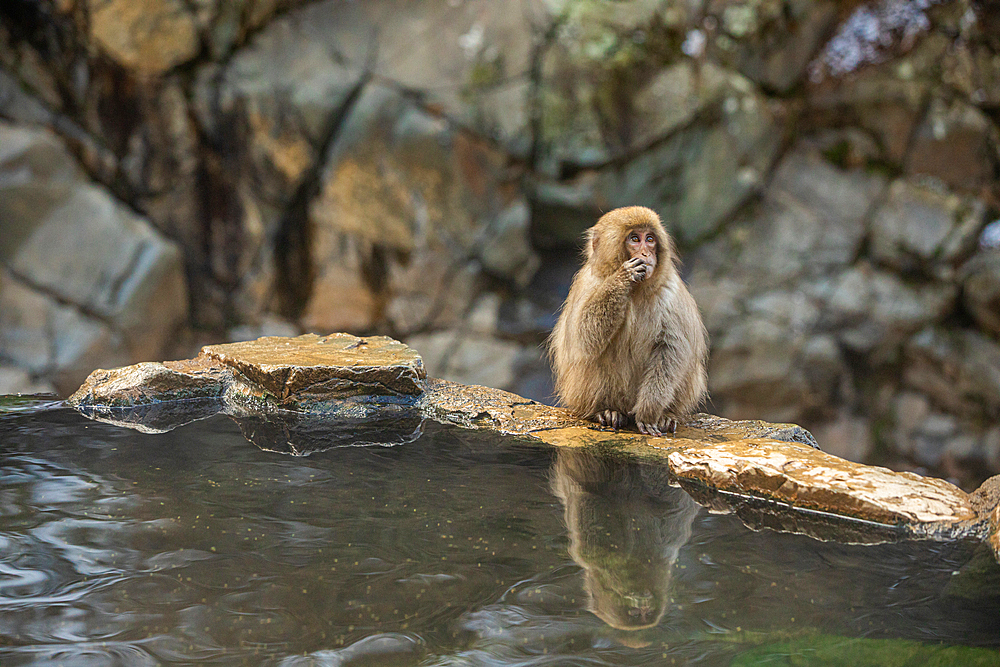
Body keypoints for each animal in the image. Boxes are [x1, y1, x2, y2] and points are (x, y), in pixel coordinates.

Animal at [552, 206, 708, 436]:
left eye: (650, 239)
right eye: (635, 239)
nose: (646, 253)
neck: (636, 291)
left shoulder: (670, 291)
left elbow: (670, 349)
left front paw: (649, 413)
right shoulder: (587, 282)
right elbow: (582, 338)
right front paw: (623, 277)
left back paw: (665, 415)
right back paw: (606, 411)